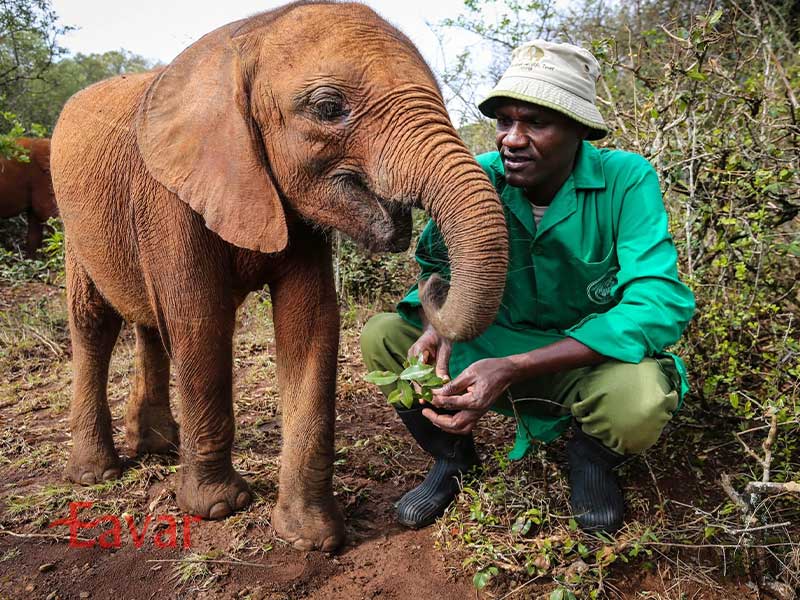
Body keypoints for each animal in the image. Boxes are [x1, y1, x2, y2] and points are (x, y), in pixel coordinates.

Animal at [50, 1, 510, 552]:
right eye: (328, 108)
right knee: (95, 323)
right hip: (73, 224)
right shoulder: (168, 196)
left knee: (149, 323)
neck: (247, 35)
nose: (433, 283)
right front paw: (218, 508)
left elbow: (309, 322)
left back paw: (158, 446)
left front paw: (310, 538)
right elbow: (200, 323)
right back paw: (96, 473)